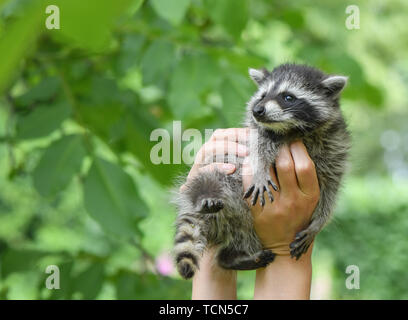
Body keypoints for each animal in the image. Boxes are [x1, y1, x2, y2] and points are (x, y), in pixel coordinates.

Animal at [172, 62, 350, 278]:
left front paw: (319, 222)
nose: (257, 110)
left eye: (288, 97)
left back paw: (229, 258)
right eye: (263, 95)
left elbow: (332, 185)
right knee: (211, 180)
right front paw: (259, 170)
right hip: (218, 181)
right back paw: (204, 196)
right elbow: (257, 149)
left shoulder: (334, 145)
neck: (292, 130)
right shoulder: (257, 133)